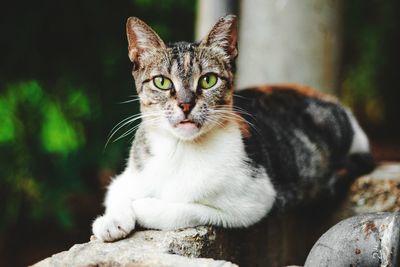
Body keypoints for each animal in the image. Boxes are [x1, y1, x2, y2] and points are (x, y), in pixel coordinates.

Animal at [92, 14, 374, 242]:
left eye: (208, 80)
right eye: (162, 82)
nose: (186, 104)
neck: (181, 150)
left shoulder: (255, 202)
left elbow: (185, 208)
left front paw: (142, 207)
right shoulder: (128, 176)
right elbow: (116, 192)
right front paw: (111, 220)